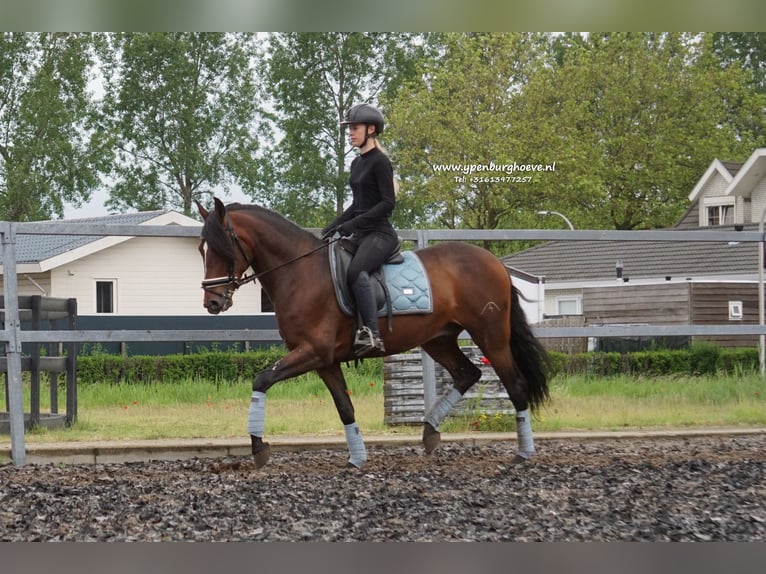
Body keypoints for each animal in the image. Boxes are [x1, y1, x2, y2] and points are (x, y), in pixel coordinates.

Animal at [195, 197, 548, 468]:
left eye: (223, 248)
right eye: (202, 249)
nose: (212, 302)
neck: (300, 272)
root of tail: (494, 261)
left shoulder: (312, 352)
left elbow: (262, 380)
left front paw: (258, 447)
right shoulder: (325, 361)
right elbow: (344, 407)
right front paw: (357, 458)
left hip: (490, 335)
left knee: (514, 384)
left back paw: (523, 454)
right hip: (439, 339)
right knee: (467, 374)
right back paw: (430, 433)